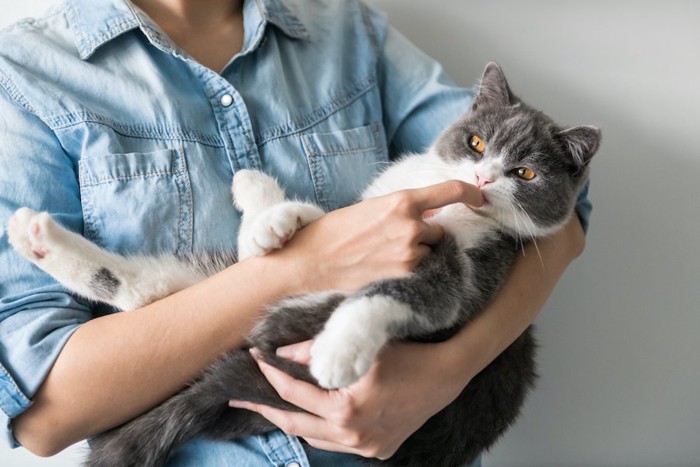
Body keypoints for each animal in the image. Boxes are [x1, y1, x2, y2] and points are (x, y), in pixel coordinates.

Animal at [5, 63, 600, 467]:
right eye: (476, 142)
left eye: (525, 174)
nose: (481, 178)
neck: (446, 204)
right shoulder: (375, 205)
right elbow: (318, 223)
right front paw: (266, 210)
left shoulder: (477, 270)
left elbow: (418, 292)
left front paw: (341, 350)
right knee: (147, 290)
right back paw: (37, 238)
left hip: (286, 328)